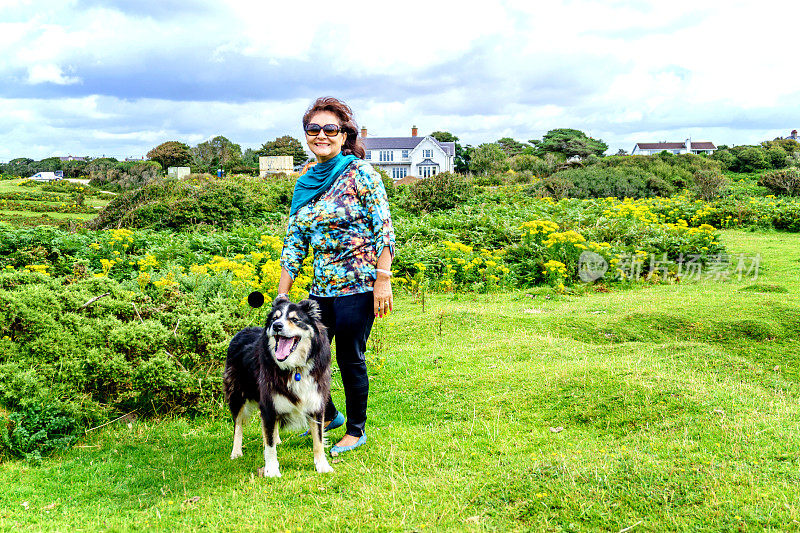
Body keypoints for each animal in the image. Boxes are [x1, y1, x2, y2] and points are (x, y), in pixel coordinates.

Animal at [223, 296, 332, 478]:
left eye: (295, 319)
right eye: (275, 318)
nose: (277, 326)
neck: (294, 369)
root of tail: (242, 331)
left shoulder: (316, 403)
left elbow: (319, 439)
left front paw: (323, 466)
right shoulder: (268, 403)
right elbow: (269, 445)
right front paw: (272, 470)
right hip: (237, 394)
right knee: (238, 424)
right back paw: (236, 451)